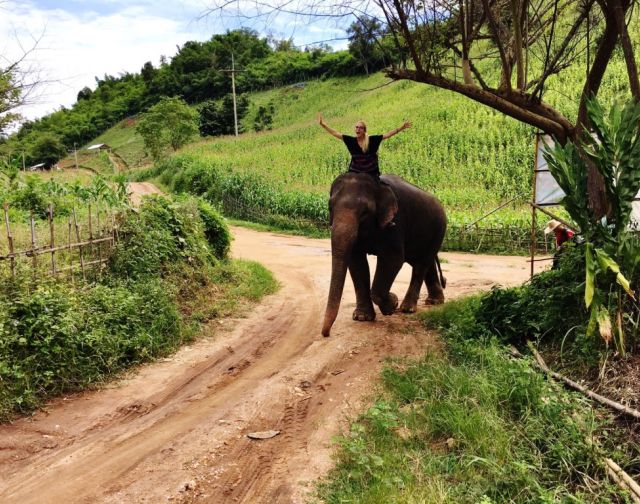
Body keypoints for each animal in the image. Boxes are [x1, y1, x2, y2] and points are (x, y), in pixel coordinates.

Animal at [320, 173, 444, 338]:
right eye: (330, 207)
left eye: (364, 212)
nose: (326, 334)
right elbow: (357, 262)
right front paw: (362, 317)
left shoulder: (395, 222)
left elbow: (393, 259)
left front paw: (393, 304)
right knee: (425, 263)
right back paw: (434, 301)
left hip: (438, 231)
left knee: (421, 264)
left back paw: (407, 308)